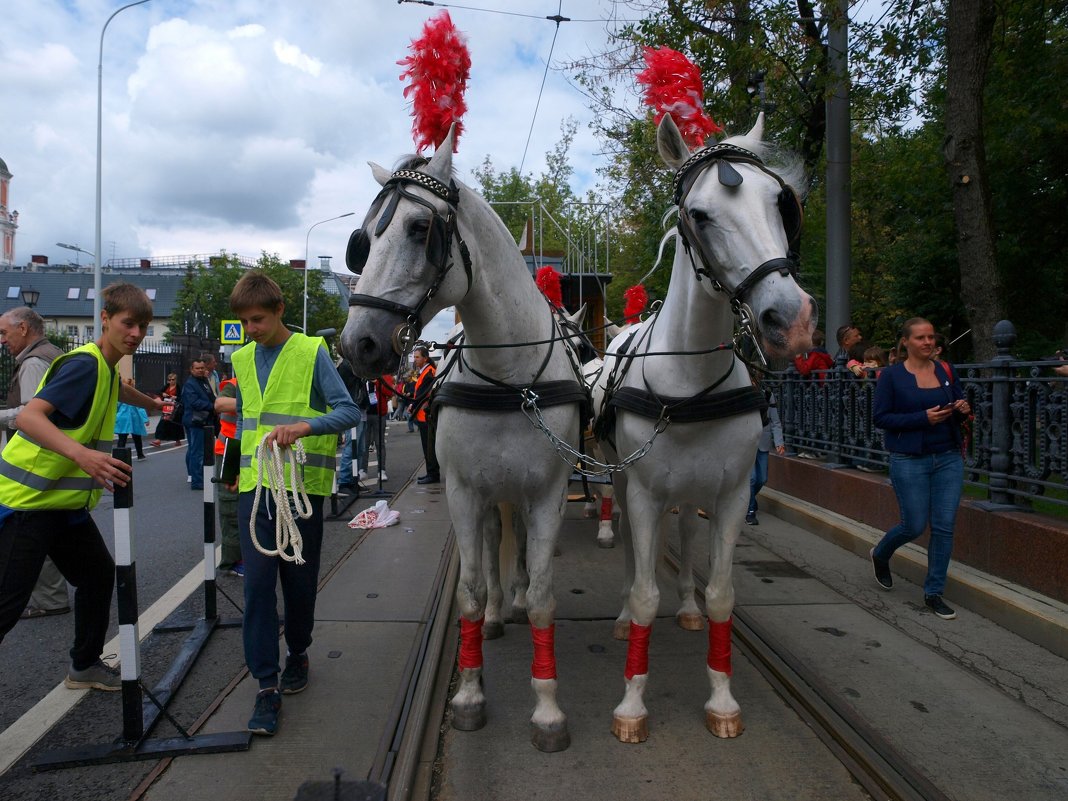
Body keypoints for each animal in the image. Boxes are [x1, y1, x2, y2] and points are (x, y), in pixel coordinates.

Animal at [339, 10, 585, 751]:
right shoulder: (466, 491)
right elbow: (472, 588)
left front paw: (547, 708)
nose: (357, 344)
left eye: (421, 227)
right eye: (362, 240)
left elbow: (544, 593)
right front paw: (472, 692)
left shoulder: (545, 491)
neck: (508, 377)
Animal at [593, 46, 815, 743]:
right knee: (632, 552)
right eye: (700, 214)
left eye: (781, 204)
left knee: (686, 539)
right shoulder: (641, 490)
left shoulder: (730, 492)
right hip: (623, 480)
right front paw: (631, 705)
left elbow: (721, 593)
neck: (687, 384)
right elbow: (643, 590)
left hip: (692, 491)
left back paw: (686, 606)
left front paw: (721, 697)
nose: (791, 318)